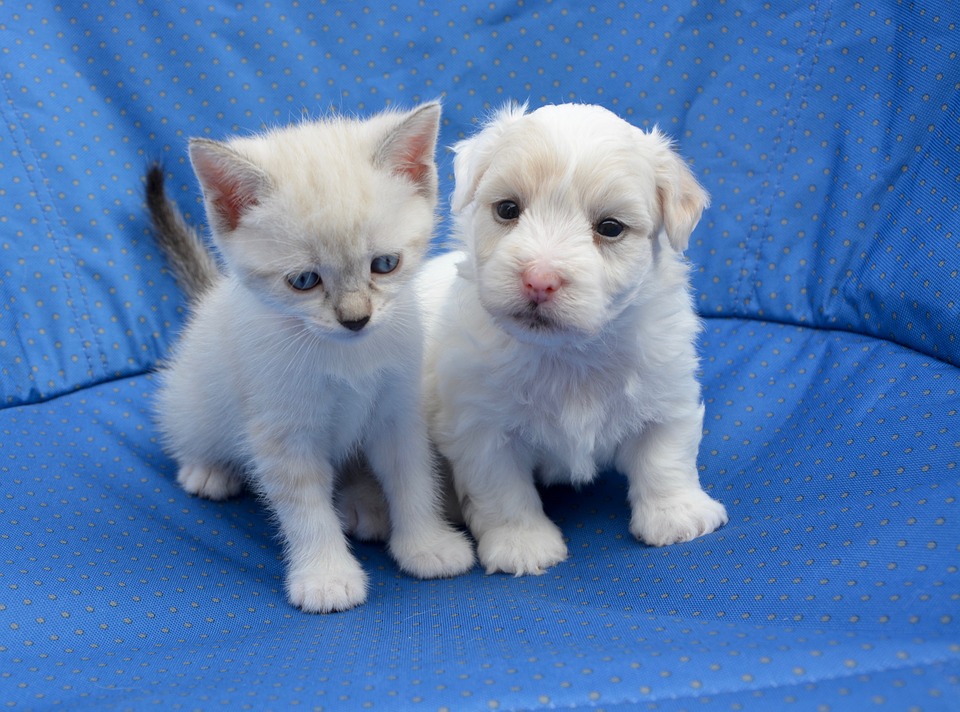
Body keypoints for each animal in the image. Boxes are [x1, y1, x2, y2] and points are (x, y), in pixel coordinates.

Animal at [148, 104, 474, 612]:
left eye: (385, 264)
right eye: (304, 281)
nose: (356, 319)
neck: (346, 357)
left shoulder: (399, 410)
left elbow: (413, 477)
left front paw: (427, 545)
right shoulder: (282, 431)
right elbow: (306, 510)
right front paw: (327, 577)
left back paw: (365, 503)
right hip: (194, 398)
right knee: (188, 427)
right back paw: (208, 470)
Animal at [420, 103, 728, 576]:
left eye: (610, 227)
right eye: (507, 209)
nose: (539, 280)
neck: (568, 353)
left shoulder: (666, 389)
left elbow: (666, 456)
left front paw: (677, 515)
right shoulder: (480, 426)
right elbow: (502, 490)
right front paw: (522, 544)